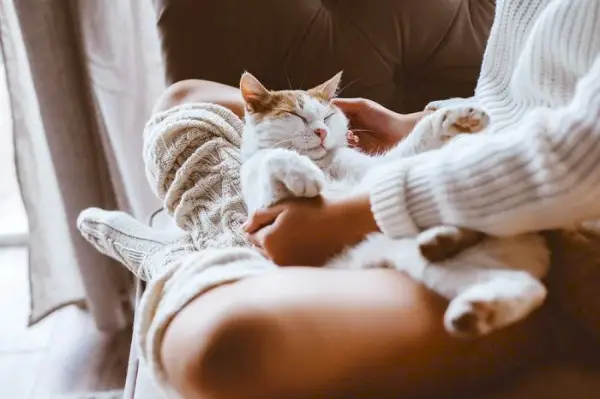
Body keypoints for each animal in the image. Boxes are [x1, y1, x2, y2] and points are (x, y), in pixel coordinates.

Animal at [238, 71, 548, 338]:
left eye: (327, 115)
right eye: (295, 115)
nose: (321, 132)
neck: (324, 164)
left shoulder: (380, 170)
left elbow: (412, 145)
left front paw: (453, 117)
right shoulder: (267, 203)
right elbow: (272, 156)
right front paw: (302, 173)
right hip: (424, 263)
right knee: (526, 286)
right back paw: (469, 304)